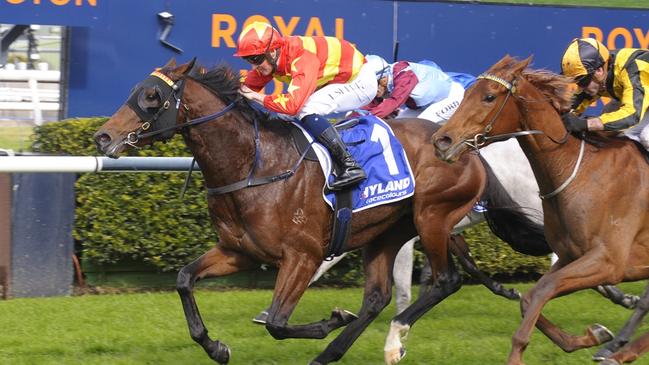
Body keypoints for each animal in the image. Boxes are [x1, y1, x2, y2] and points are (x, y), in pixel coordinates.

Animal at [95, 58, 492, 362]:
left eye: (152, 96)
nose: (103, 136)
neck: (254, 166)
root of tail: (460, 145)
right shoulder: (239, 251)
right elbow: (183, 279)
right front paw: (216, 347)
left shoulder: (303, 255)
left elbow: (277, 322)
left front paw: (333, 318)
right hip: (387, 232)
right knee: (377, 297)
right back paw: (330, 353)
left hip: (432, 217)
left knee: (446, 280)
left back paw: (390, 340)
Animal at [432, 54, 648, 364]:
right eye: (466, 95)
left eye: (489, 96)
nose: (442, 141)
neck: (580, 170)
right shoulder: (570, 256)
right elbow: (529, 297)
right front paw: (591, 337)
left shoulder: (608, 260)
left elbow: (541, 293)